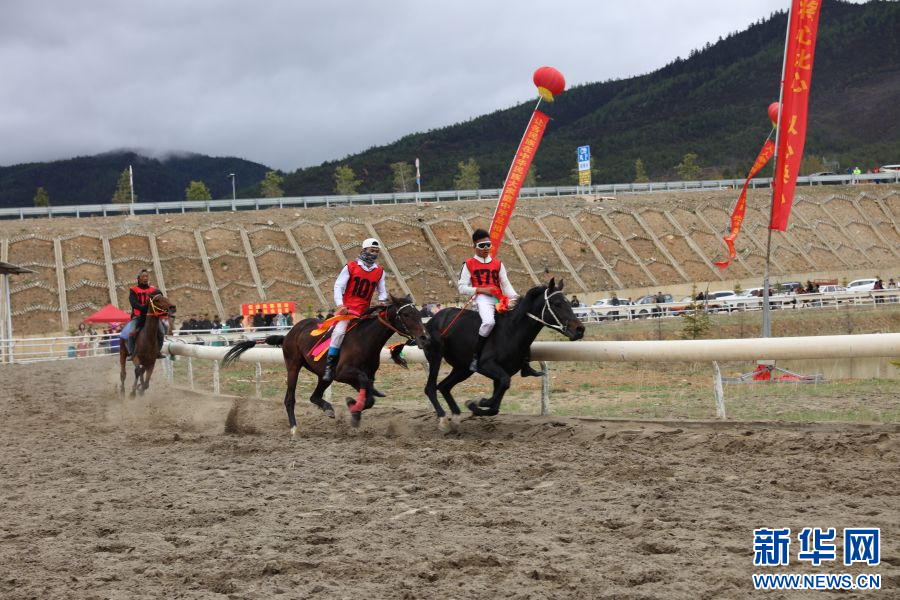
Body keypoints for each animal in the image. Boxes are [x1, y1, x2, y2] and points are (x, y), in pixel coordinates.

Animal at [223, 294, 429, 435]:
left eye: (419, 313)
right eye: (406, 314)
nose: (424, 337)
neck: (365, 340)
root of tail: (289, 333)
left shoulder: (362, 377)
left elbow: (369, 397)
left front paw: (354, 409)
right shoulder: (344, 374)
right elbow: (365, 388)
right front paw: (353, 405)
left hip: (323, 374)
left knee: (315, 396)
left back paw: (328, 408)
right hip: (293, 365)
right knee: (290, 398)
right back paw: (294, 428)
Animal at [423, 278, 584, 432]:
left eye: (569, 303)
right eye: (557, 303)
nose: (580, 329)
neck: (511, 331)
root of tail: (432, 320)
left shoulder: (501, 374)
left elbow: (495, 406)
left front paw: (476, 404)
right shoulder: (487, 366)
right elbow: (503, 386)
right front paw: (476, 402)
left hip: (462, 368)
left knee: (444, 386)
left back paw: (455, 417)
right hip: (436, 356)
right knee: (430, 388)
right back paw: (443, 420)